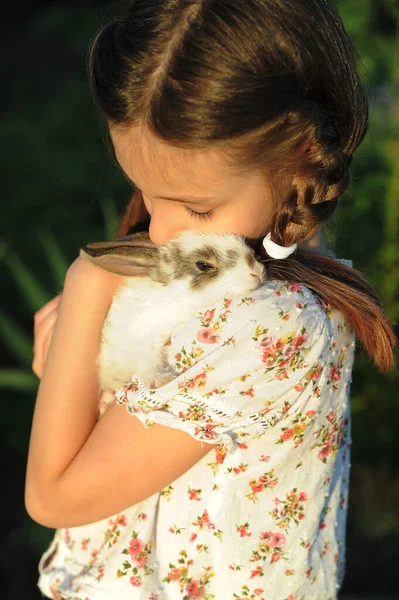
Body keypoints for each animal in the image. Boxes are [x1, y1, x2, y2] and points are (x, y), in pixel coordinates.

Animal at [78, 230, 268, 418]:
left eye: (250, 247)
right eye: (203, 265)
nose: (257, 272)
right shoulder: (145, 342)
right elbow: (147, 363)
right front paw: (162, 380)